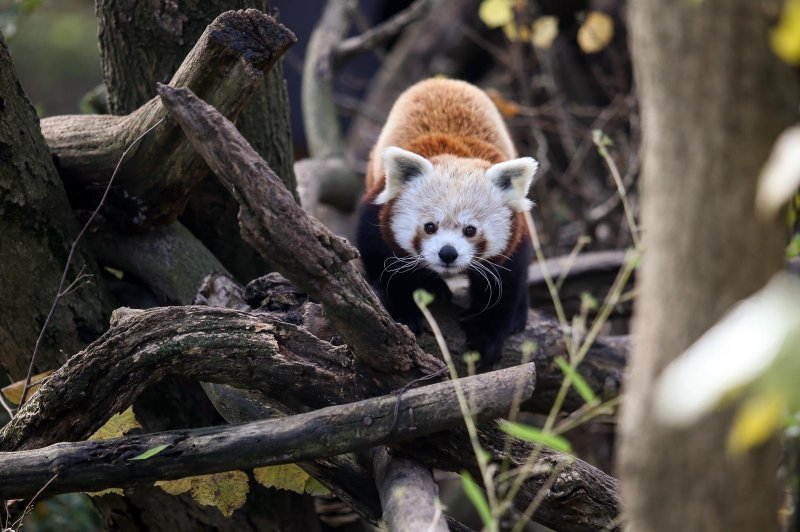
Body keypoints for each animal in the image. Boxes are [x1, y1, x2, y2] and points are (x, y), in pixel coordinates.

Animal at [356, 79, 536, 368]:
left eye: (470, 230)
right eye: (430, 226)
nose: (448, 253)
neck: (455, 155)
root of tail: (442, 80)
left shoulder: (517, 230)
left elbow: (508, 281)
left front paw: (486, 335)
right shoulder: (377, 209)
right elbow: (381, 257)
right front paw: (403, 306)